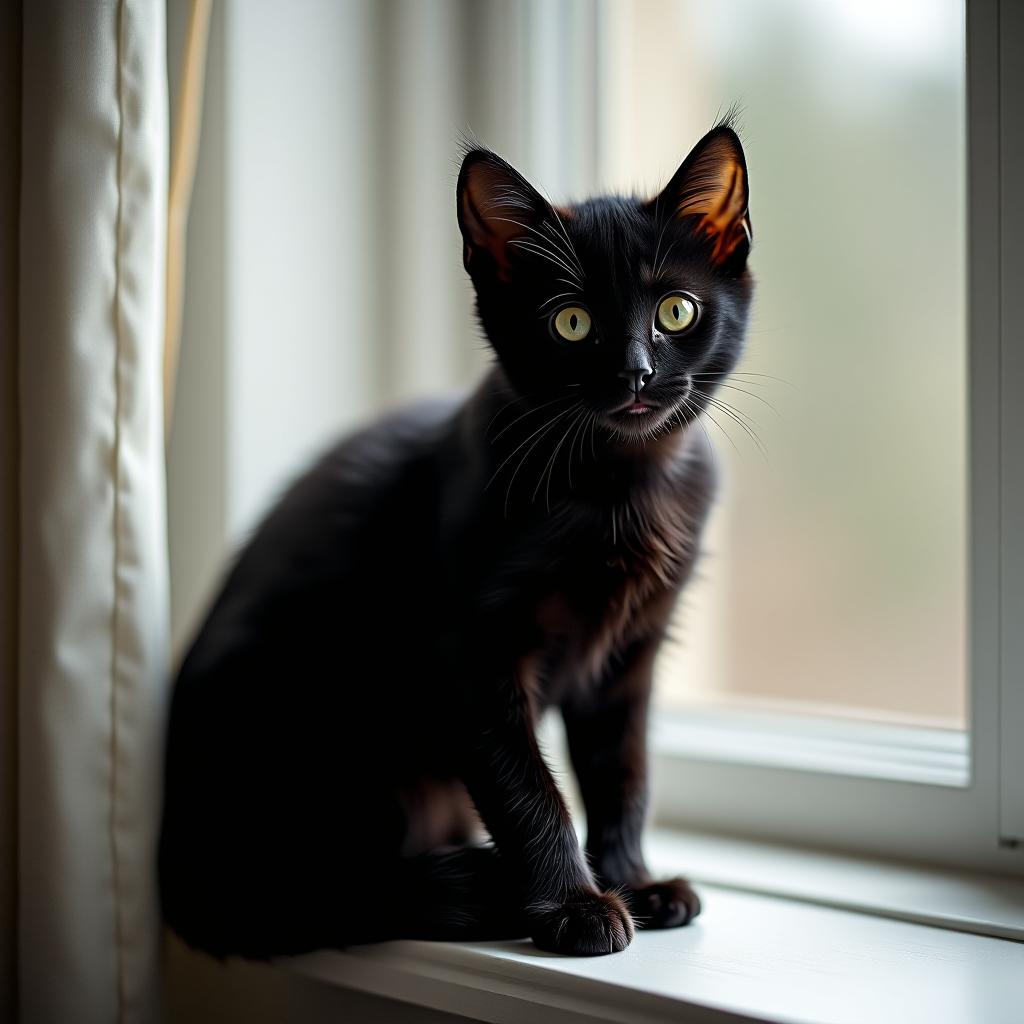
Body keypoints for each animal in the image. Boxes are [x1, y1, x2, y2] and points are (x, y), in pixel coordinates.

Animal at [159, 121, 753, 958]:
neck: (619, 487)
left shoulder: (627, 659)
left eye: (676, 310)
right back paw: (476, 885)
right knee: (321, 891)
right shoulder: (471, 655)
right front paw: (576, 906)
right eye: (571, 321)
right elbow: (528, 788)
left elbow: (621, 775)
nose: (635, 374)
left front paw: (634, 881)